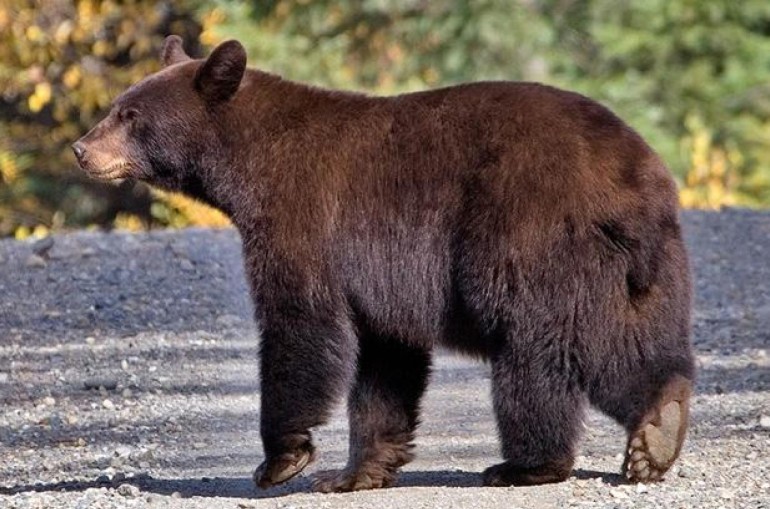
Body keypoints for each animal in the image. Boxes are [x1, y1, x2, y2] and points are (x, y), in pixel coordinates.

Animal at [75, 35, 692, 492]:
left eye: (129, 114)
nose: (82, 149)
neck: (246, 165)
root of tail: (633, 178)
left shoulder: (304, 220)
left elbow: (300, 325)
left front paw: (281, 460)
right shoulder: (381, 277)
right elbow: (385, 361)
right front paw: (356, 471)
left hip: (530, 238)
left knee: (539, 348)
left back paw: (528, 464)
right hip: (647, 268)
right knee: (632, 339)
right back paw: (659, 427)